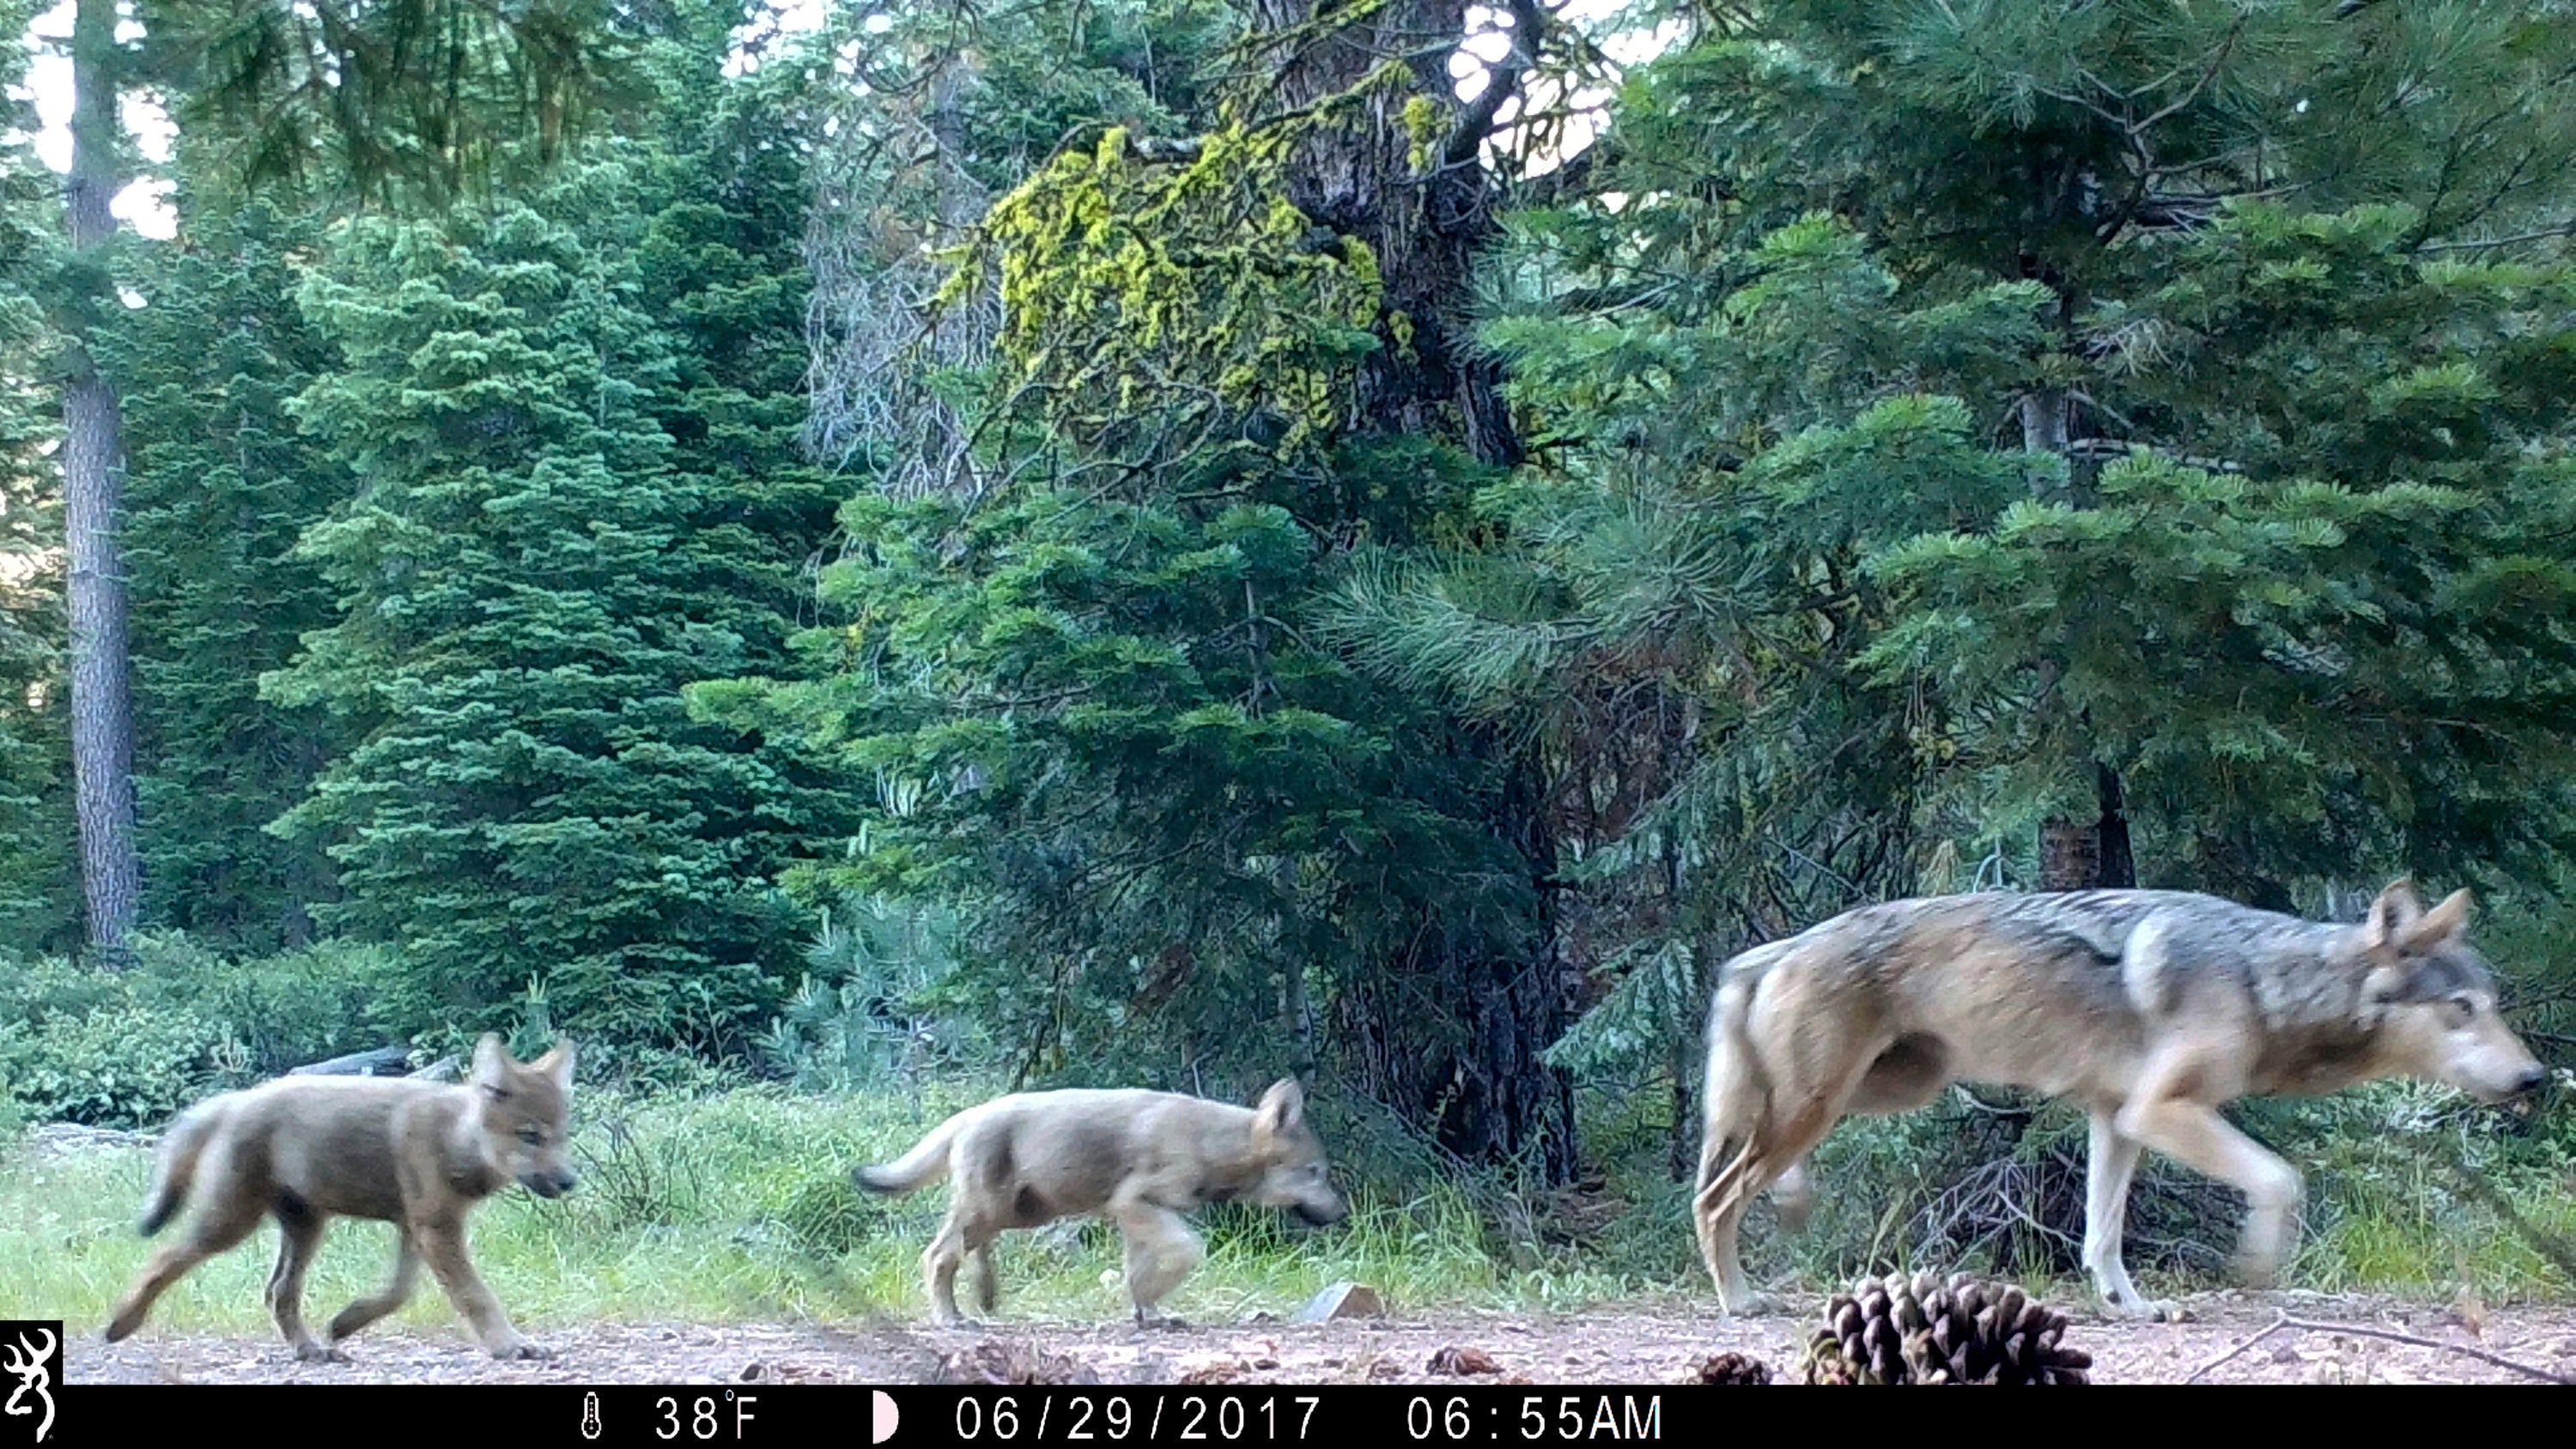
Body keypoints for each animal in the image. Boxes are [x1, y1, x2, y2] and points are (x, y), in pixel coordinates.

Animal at [101, 1040, 580, 1369]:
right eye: (530, 1136)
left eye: (561, 1137)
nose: (569, 1181)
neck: (454, 1138)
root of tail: (237, 1098)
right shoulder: (435, 1228)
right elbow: (476, 1296)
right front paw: (510, 1345)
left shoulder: (415, 1228)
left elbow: (398, 1293)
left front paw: (346, 1323)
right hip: (230, 1224)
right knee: (164, 1257)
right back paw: (121, 1324)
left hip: (306, 1228)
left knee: (277, 1291)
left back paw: (311, 1350)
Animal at [860, 1076, 1350, 1328]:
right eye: (1316, 1173)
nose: (1343, 1213)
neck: (1212, 1144)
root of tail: (967, 1114)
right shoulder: (1133, 1203)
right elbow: (1187, 1250)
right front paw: (1149, 1305)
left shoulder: (1134, 1217)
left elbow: (1138, 1274)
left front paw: (1149, 1314)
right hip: (993, 1211)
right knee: (938, 1255)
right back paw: (952, 1319)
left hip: (1015, 1214)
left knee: (969, 1252)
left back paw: (985, 1298)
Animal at [1690, 880, 2555, 1318]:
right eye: (2460, 1010)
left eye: (2494, 1005)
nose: (2536, 1080)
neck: (2266, 983)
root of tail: (1771, 949)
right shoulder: (2160, 1111)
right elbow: (2283, 1179)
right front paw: (2257, 1266)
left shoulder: (2117, 1118)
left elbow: (2101, 1237)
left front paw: (2128, 1308)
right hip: (1823, 1104)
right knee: (1716, 1197)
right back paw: (1739, 1300)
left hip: (1885, 1092)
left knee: (1747, 1172)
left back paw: (1789, 1207)